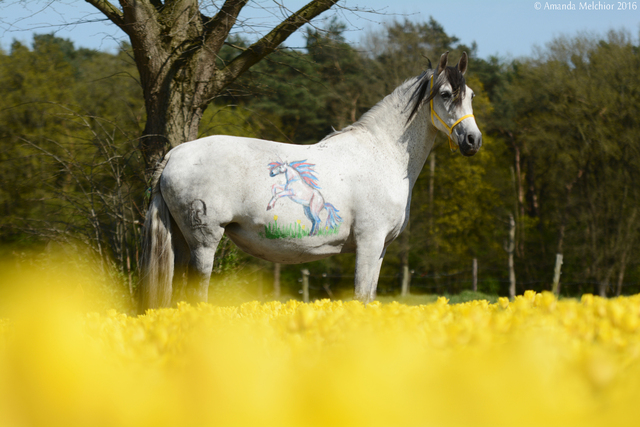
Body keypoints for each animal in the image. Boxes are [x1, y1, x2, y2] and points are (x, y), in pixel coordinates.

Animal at [139, 52, 480, 314]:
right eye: (446, 94)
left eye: (471, 95)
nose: (473, 141)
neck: (383, 153)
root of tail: (174, 155)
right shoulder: (369, 243)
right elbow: (361, 297)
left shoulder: (380, 248)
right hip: (204, 242)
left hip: (181, 242)